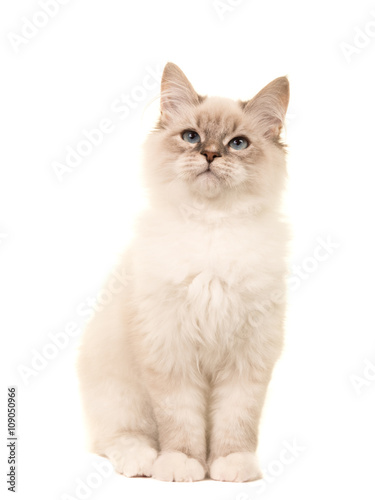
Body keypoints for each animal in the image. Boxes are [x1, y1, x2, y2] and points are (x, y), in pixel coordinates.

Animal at [77, 60, 290, 482]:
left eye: (238, 144)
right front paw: (181, 466)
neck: (211, 227)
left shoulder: (247, 356)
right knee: (117, 438)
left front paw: (231, 466)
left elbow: (236, 420)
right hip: (120, 394)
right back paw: (142, 461)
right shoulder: (169, 349)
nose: (209, 154)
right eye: (191, 137)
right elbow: (180, 421)